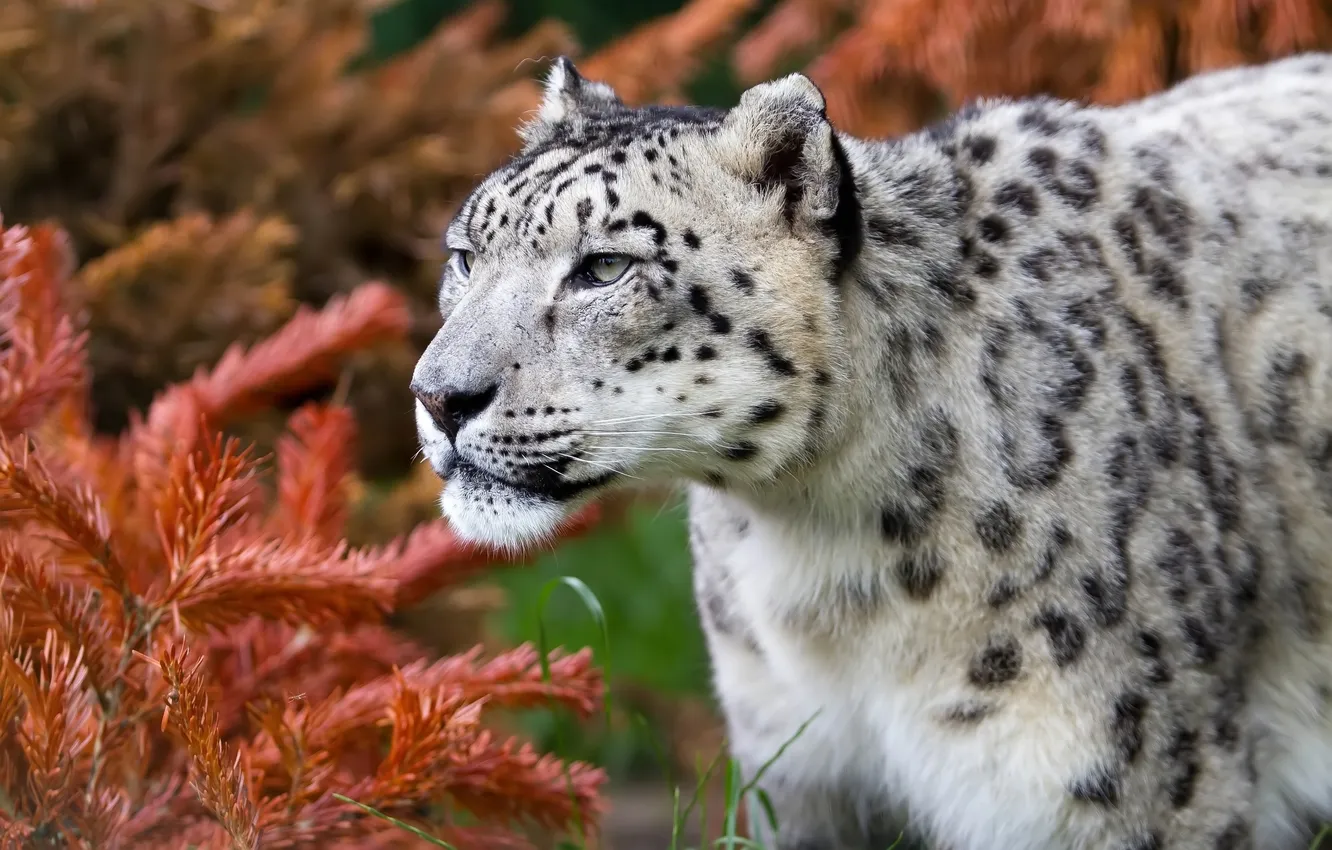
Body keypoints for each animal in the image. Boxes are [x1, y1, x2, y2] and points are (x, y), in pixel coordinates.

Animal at [410, 53, 1332, 849]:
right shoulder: (799, 771)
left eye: (605, 268)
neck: (825, 560)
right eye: (465, 257)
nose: (438, 397)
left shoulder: (1122, 785)